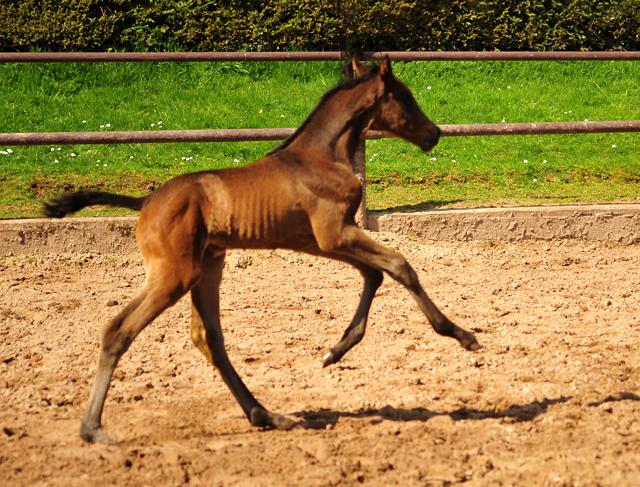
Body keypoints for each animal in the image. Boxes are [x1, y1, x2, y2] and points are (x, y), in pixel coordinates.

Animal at [45, 58, 480, 446]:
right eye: (405, 98)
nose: (435, 134)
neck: (322, 156)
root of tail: (147, 201)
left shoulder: (319, 240)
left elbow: (373, 274)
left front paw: (335, 351)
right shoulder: (334, 234)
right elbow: (400, 265)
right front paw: (461, 335)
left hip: (207, 266)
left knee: (208, 337)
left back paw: (266, 415)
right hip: (174, 274)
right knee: (119, 330)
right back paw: (93, 429)